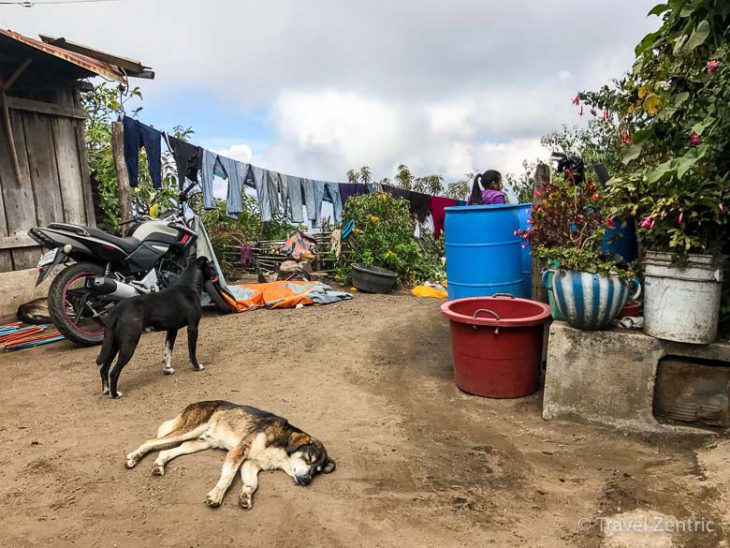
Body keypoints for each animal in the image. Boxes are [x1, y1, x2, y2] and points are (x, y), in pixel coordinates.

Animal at [95, 255, 213, 400]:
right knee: (114, 371)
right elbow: (192, 351)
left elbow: (167, 351)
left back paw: (106, 390)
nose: (216, 273)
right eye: (210, 266)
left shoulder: (172, 330)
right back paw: (115, 394)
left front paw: (167, 370)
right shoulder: (192, 327)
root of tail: (116, 309)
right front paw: (197, 367)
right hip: (129, 344)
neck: (189, 286)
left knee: (104, 368)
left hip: (113, 345)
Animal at [123, 398, 334, 510]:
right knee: (151, 442)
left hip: (198, 443)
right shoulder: (238, 451)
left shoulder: (251, 464)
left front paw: (245, 496)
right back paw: (133, 458)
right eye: (309, 458)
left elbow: (252, 484)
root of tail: (195, 403)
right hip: (189, 430)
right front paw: (216, 495)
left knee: (168, 450)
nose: (307, 481)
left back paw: (158, 465)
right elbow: (227, 477)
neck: (282, 449)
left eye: (317, 471)